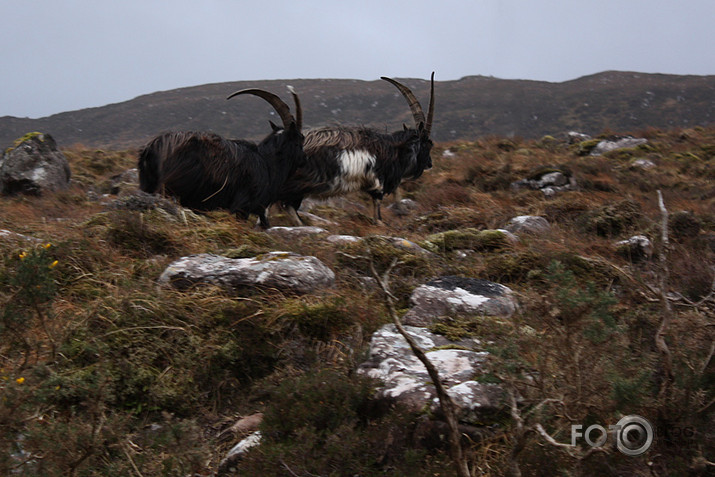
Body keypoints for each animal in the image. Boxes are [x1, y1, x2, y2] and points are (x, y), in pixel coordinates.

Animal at [138, 88, 304, 229]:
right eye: (299, 140)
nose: (303, 160)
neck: (267, 163)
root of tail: (153, 147)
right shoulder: (242, 206)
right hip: (170, 188)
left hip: (148, 185)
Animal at [278, 73, 436, 225]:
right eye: (427, 145)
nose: (430, 163)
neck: (394, 150)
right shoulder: (378, 180)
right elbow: (378, 205)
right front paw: (381, 223)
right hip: (298, 183)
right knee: (288, 206)